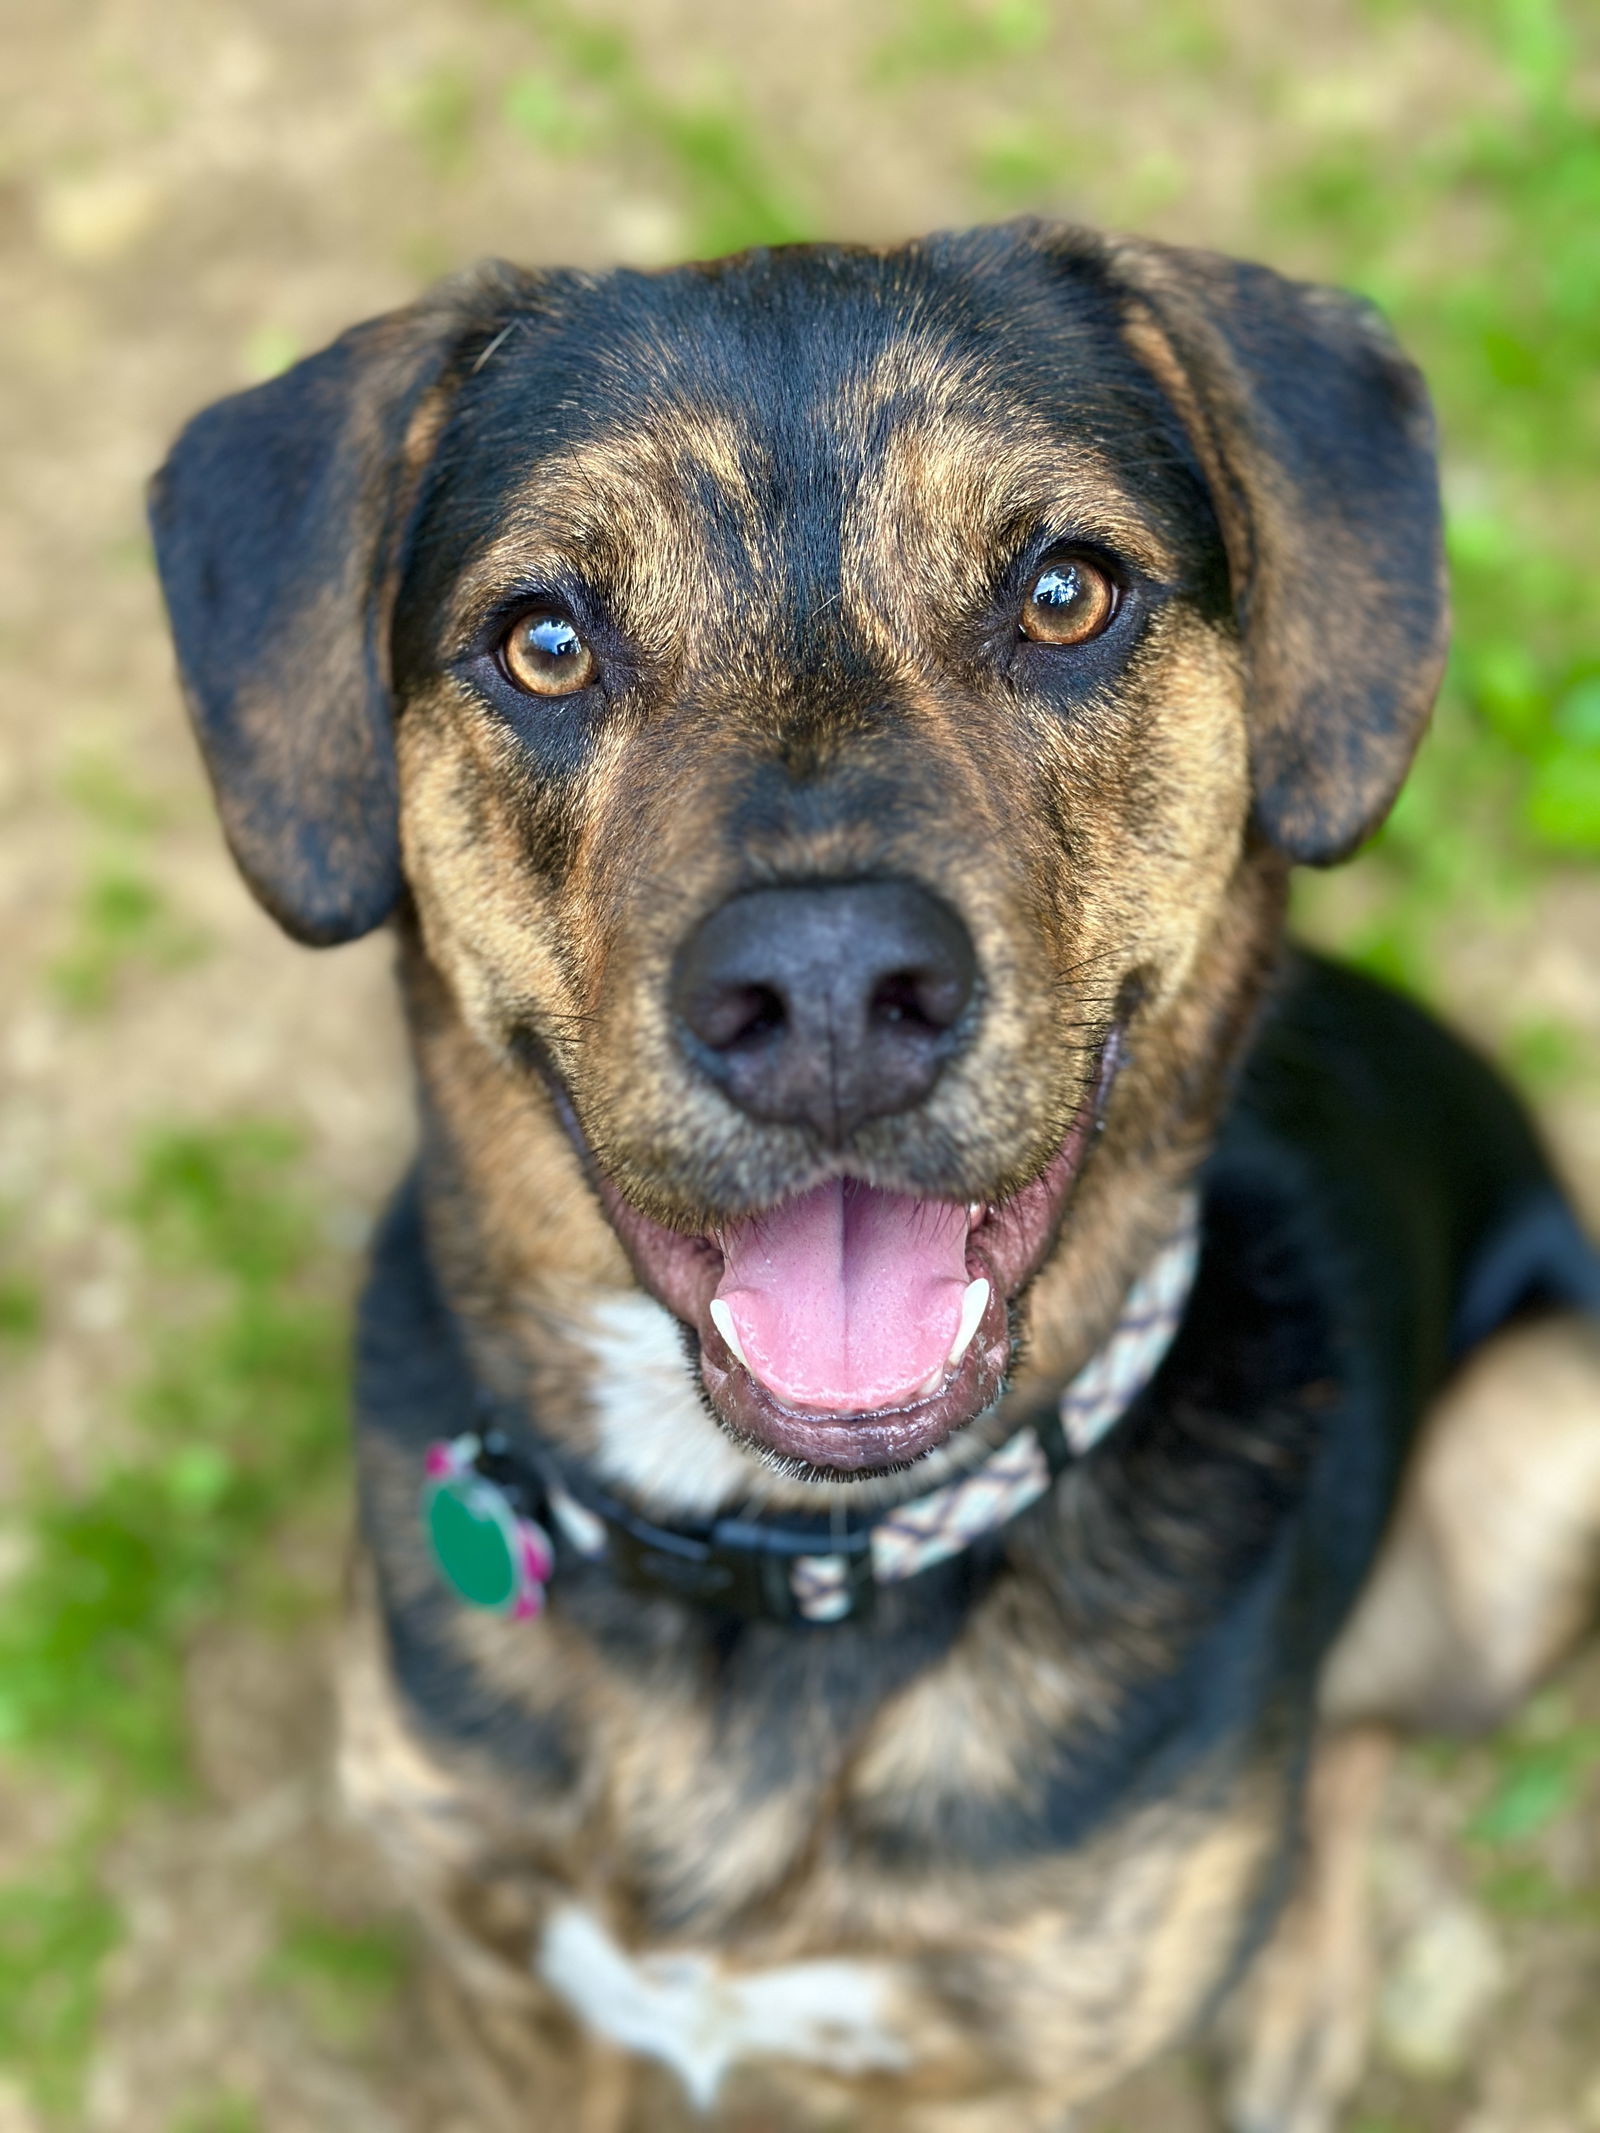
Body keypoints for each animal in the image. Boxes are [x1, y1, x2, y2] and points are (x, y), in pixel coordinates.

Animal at [150, 220, 1600, 2133]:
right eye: (544, 640)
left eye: (1065, 593)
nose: (830, 992)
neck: (782, 1558)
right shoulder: (507, 1977)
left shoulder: (987, 2071)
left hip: (1537, 1450)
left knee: (1347, 1731)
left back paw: (1299, 1985)